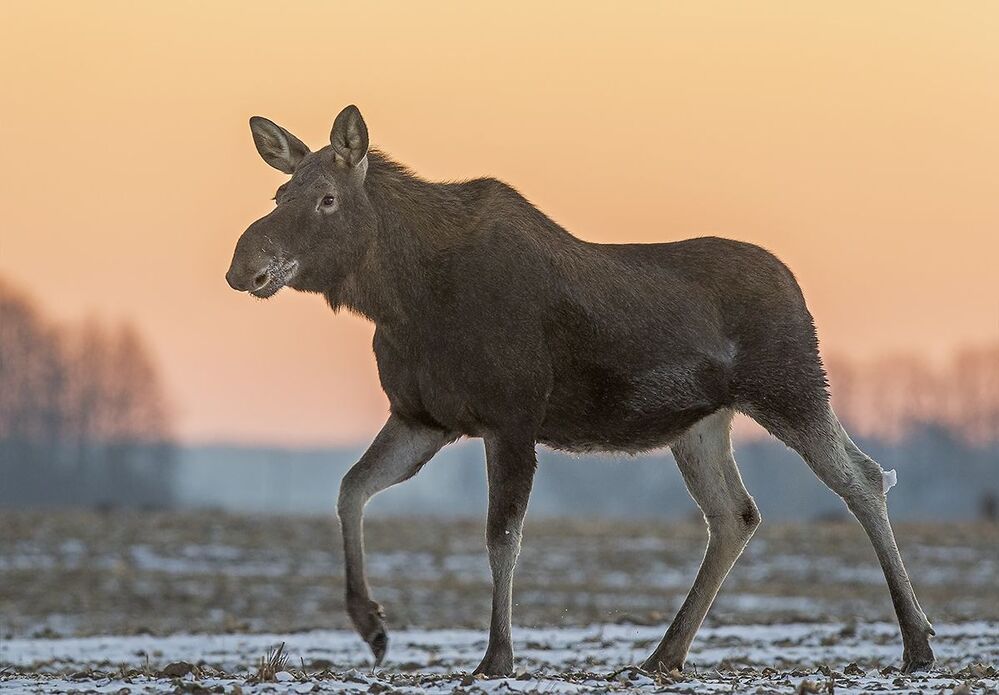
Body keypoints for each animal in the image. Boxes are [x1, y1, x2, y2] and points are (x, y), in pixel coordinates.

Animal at [225, 105, 935, 676]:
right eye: (280, 190)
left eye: (326, 198)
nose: (243, 264)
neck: (401, 299)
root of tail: (797, 287)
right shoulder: (421, 417)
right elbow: (350, 489)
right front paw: (371, 625)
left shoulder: (510, 416)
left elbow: (501, 536)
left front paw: (497, 657)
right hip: (701, 423)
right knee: (736, 512)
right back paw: (664, 653)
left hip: (792, 386)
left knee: (861, 479)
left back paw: (918, 642)